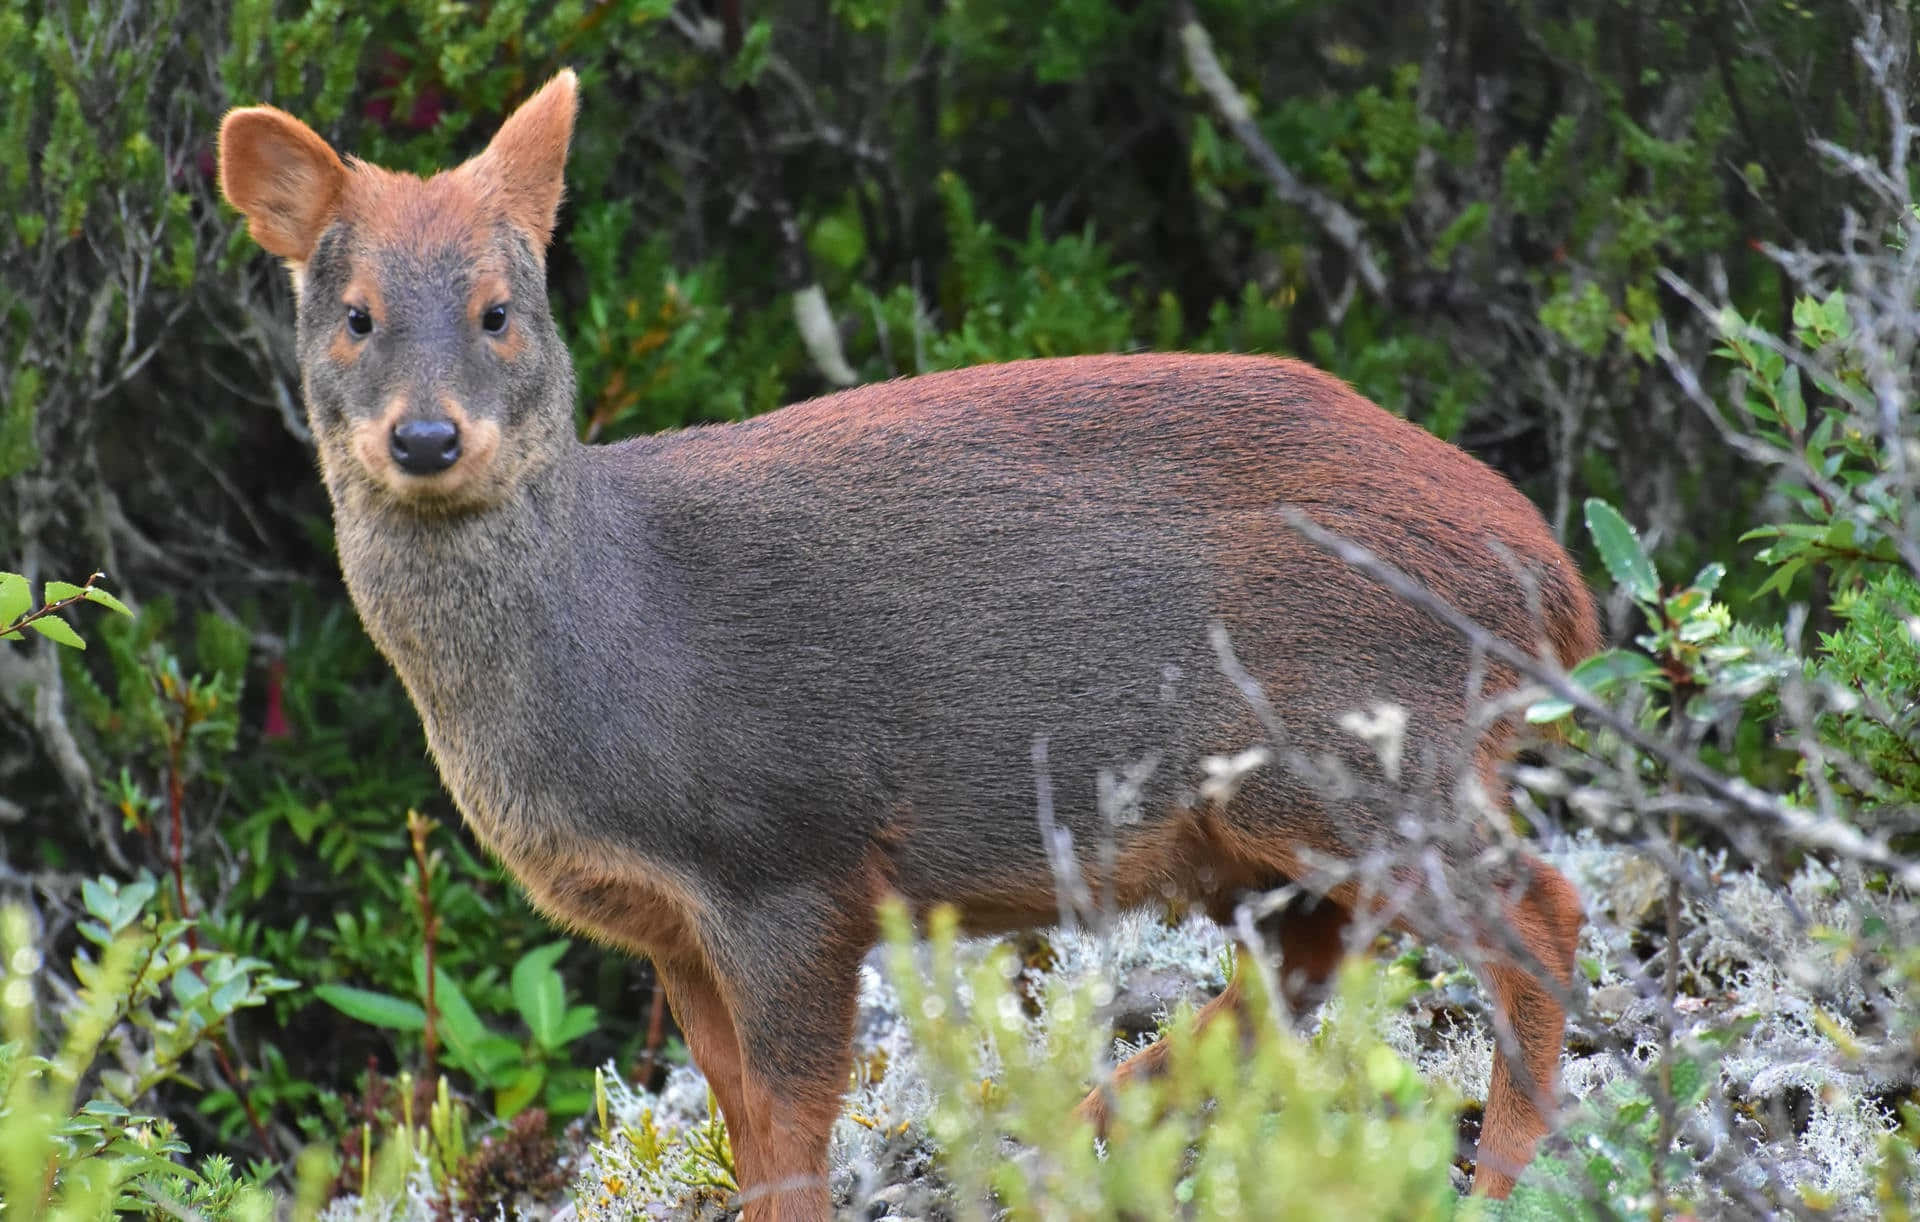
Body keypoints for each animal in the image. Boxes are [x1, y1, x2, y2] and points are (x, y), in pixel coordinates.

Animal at [224, 71, 1597, 1214]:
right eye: (356, 317)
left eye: (498, 311)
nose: (426, 437)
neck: (604, 639)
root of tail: (1552, 578)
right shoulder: (669, 920)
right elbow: (736, 1113)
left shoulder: (788, 856)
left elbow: (790, 1129)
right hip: (1266, 816)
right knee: (1308, 958)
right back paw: (1077, 1136)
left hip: (1353, 747)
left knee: (1539, 906)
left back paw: (1502, 1173)